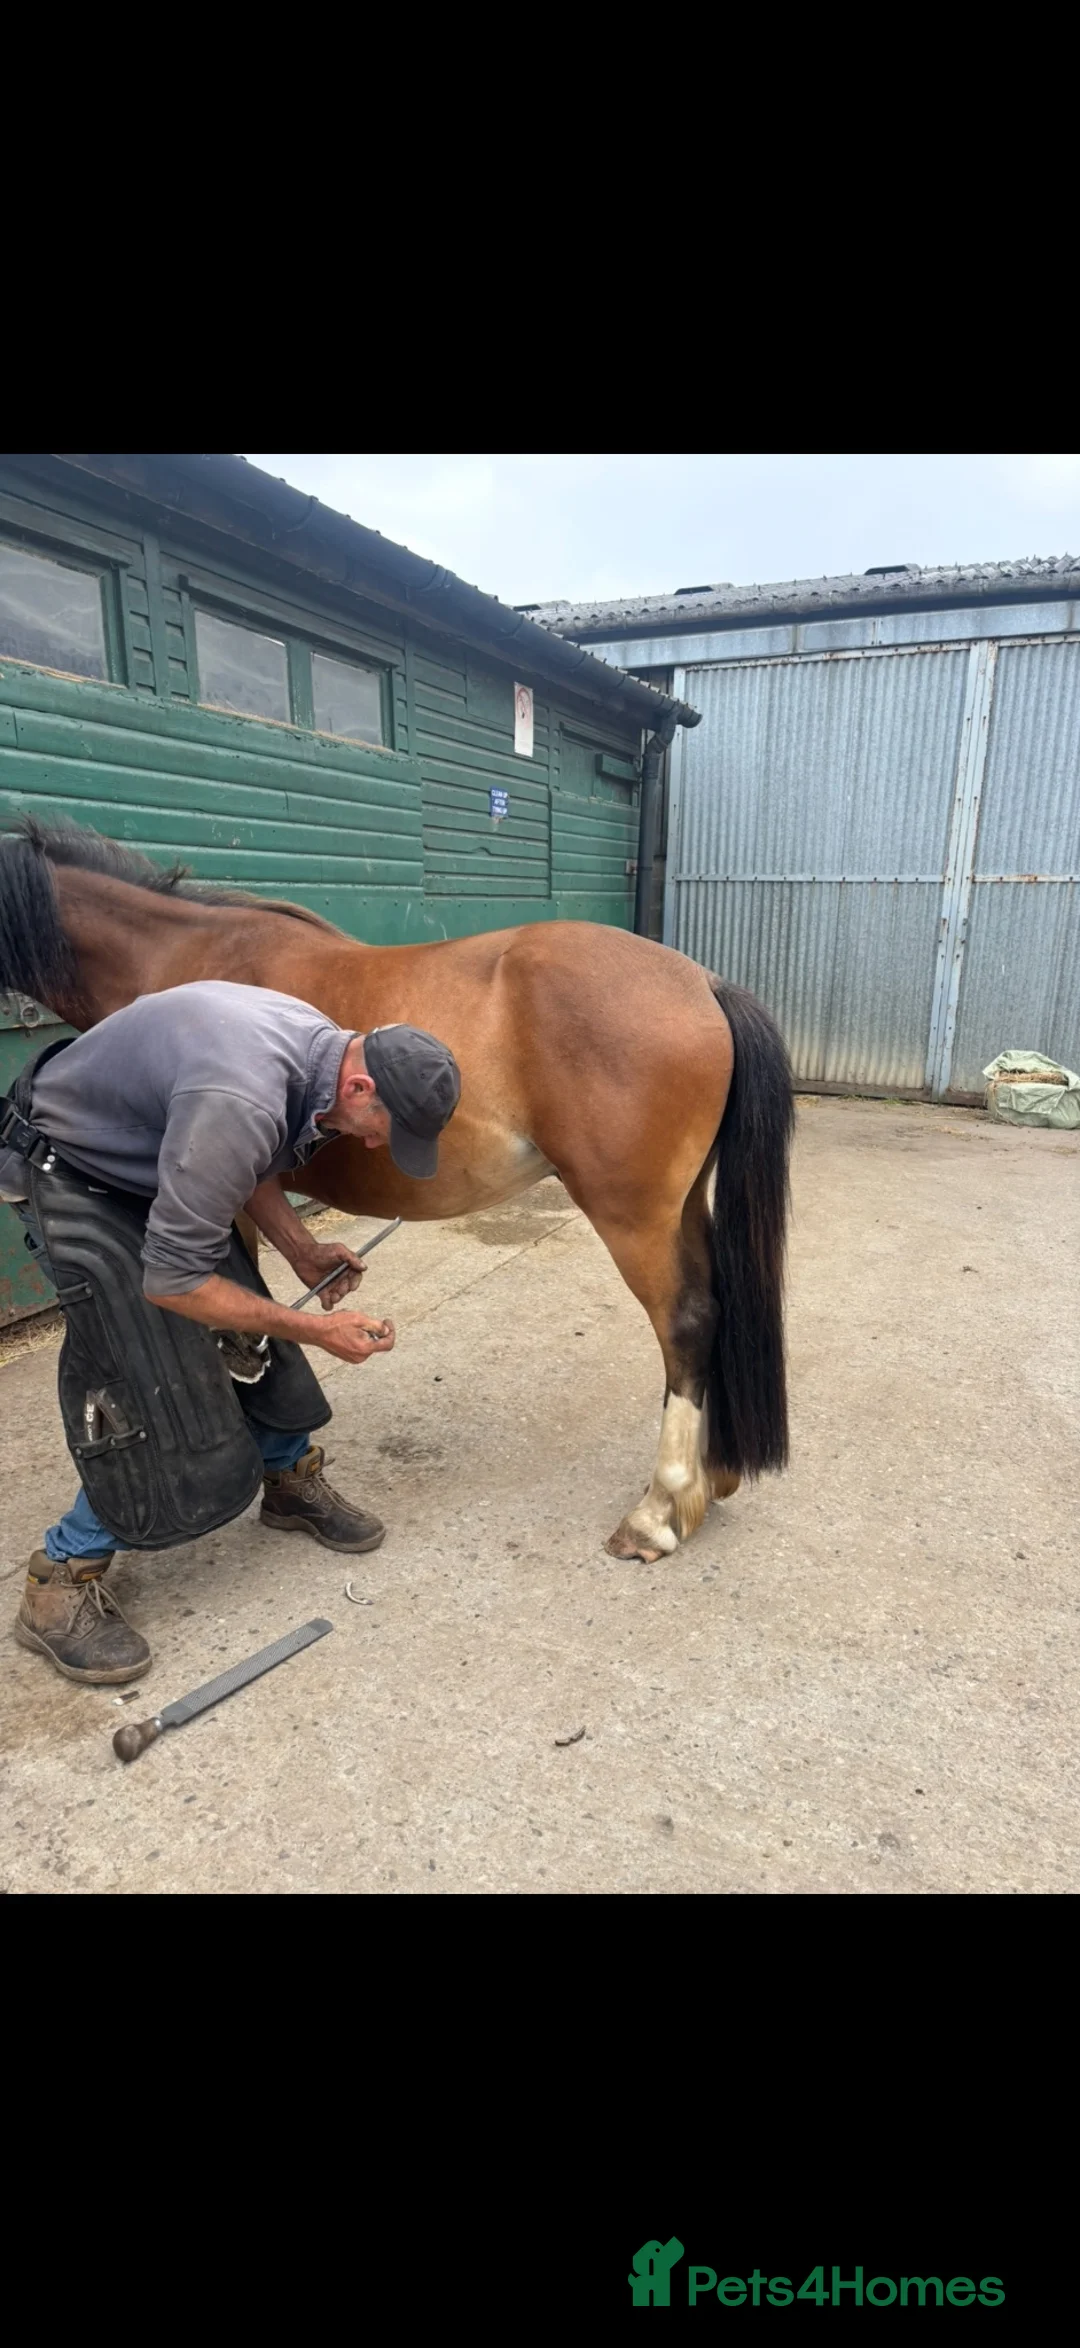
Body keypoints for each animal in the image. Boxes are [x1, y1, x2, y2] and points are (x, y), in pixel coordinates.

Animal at [0, 818, 793, 1563]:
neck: (175, 961)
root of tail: (703, 984)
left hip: (633, 1216)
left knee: (685, 1322)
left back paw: (659, 1510)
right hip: (681, 1207)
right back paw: (711, 1478)